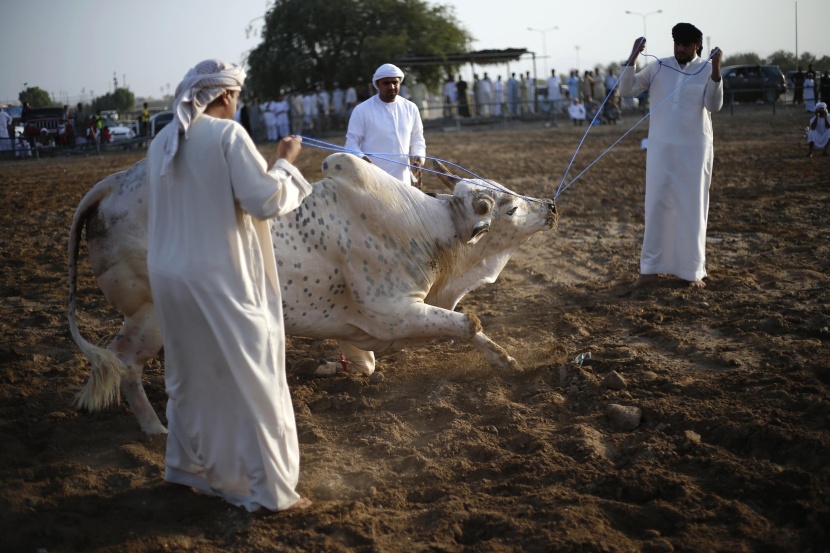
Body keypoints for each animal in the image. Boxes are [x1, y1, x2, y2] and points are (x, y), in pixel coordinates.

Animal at [66, 153, 560, 434]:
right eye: (509, 207)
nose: (550, 206)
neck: (432, 232)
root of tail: (111, 184)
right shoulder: (393, 312)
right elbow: (468, 323)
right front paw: (509, 362)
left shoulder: (359, 327)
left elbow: (365, 360)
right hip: (152, 314)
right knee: (126, 363)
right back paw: (157, 429)